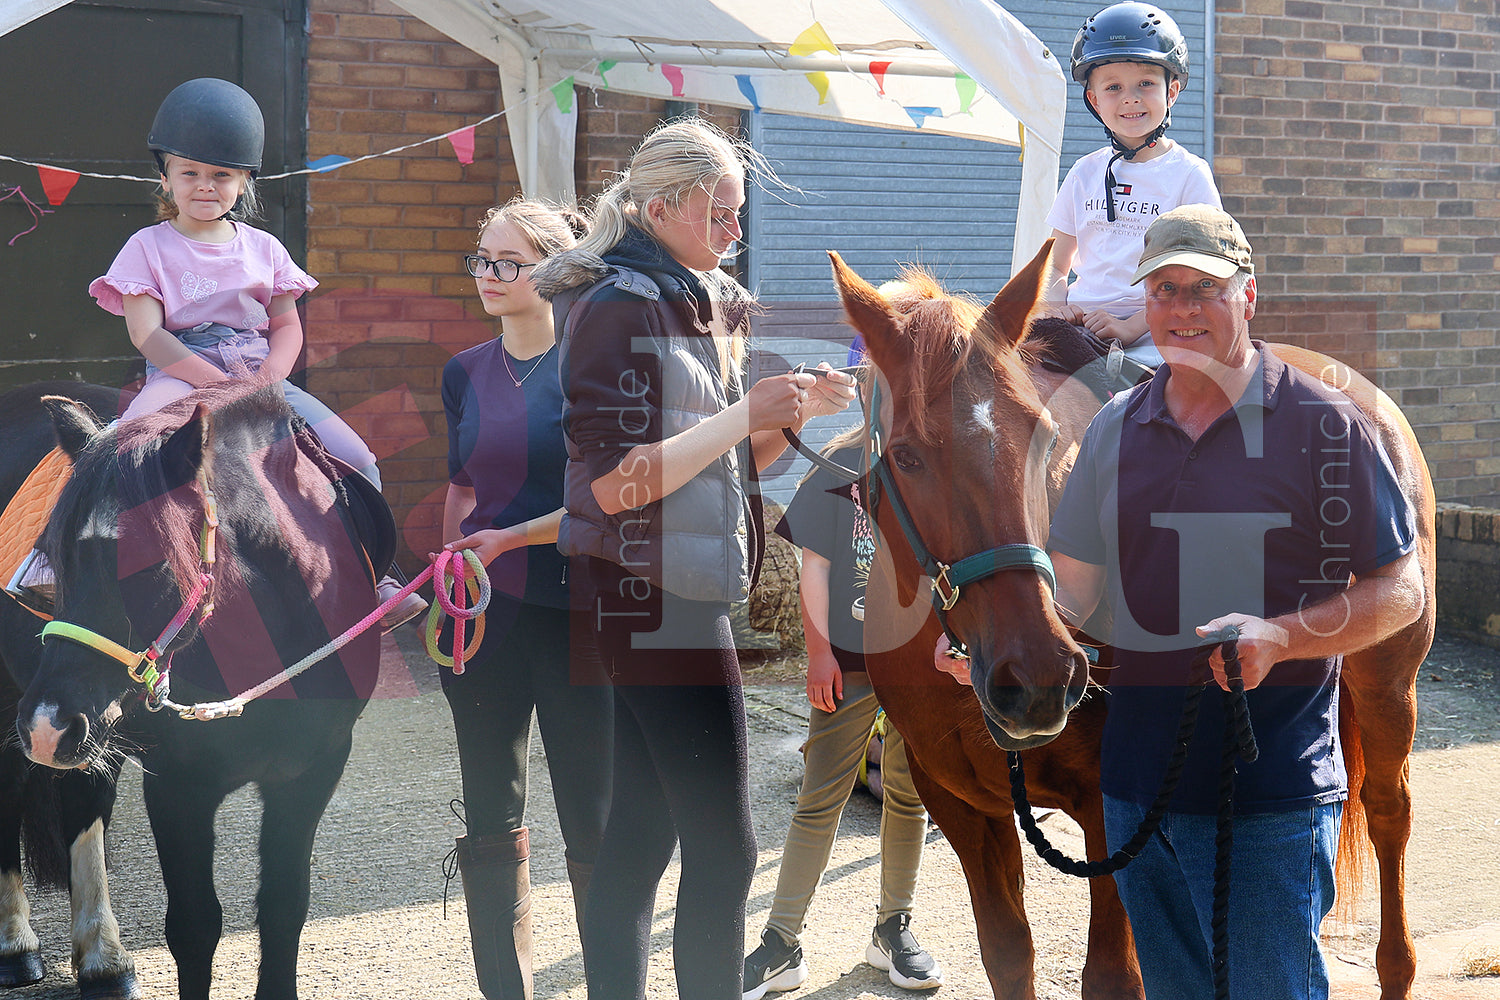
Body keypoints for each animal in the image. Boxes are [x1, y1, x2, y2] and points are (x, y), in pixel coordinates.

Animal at [0, 380, 393, 1000]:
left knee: (84, 800)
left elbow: (284, 906)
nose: (46, 724)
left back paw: (103, 961)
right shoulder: (179, 785)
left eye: (145, 563)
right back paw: (16, 946)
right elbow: (194, 925)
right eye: (55, 558)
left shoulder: (312, 771)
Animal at [828, 244, 1434, 1000]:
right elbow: (1008, 955)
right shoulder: (962, 805)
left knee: (1388, 812)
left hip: (1387, 688)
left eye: (1044, 436)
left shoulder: (1108, 809)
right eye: (907, 454)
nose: (1039, 676)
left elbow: (1113, 974)